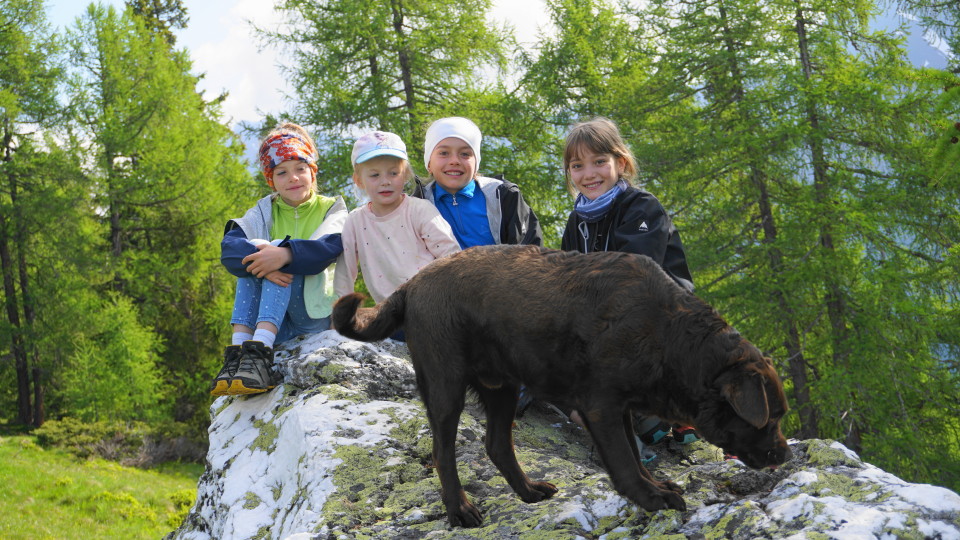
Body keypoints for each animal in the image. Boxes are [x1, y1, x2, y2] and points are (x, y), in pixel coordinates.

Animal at [334, 245, 792, 528]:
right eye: (770, 419)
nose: (785, 456)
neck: (670, 335)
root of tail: (411, 284)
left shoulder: (621, 408)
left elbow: (636, 456)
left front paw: (657, 485)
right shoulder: (601, 406)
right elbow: (625, 463)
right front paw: (652, 498)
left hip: (502, 385)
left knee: (497, 444)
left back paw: (529, 491)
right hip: (445, 383)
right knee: (443, 452)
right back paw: (461, 510)